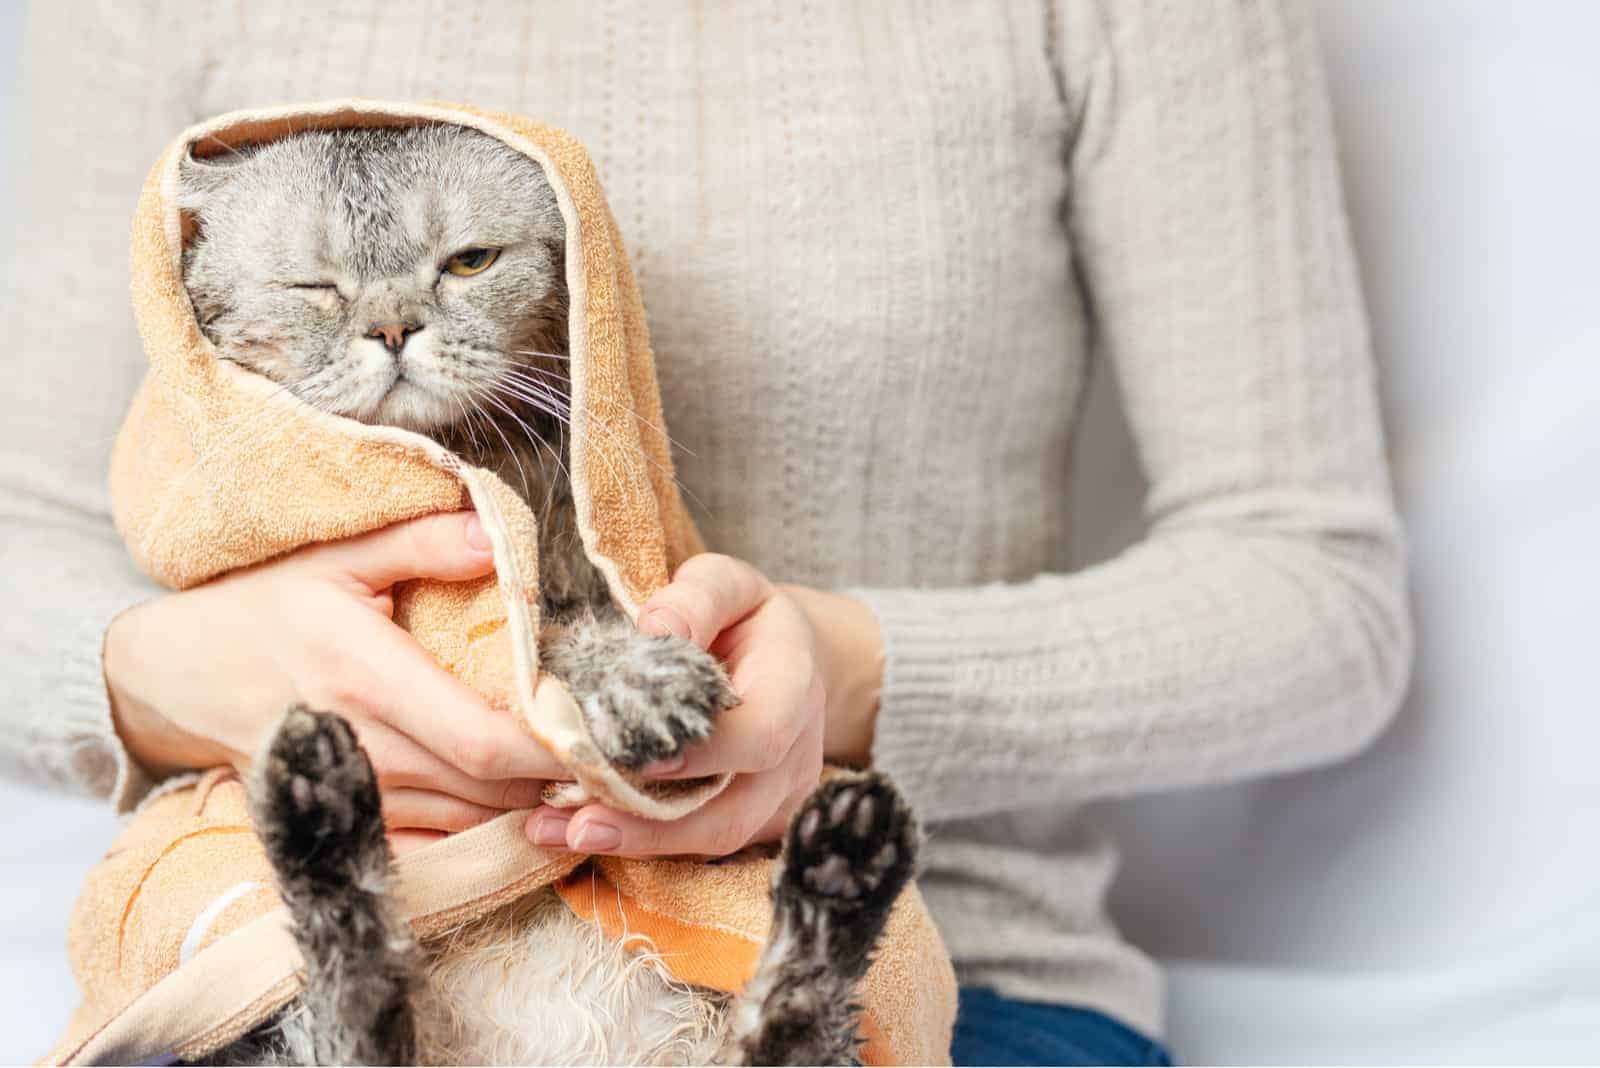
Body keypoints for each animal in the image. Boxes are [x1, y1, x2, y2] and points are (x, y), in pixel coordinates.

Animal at [175, 127, 921, 1068]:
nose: (393, 328)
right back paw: (315, 797)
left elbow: (586, 627)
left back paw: (847, 859)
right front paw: (639, 684)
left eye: (469, 262)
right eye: (313, 285)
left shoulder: (590, 573)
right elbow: (554, 640)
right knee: (359, 995)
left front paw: (642, 681)